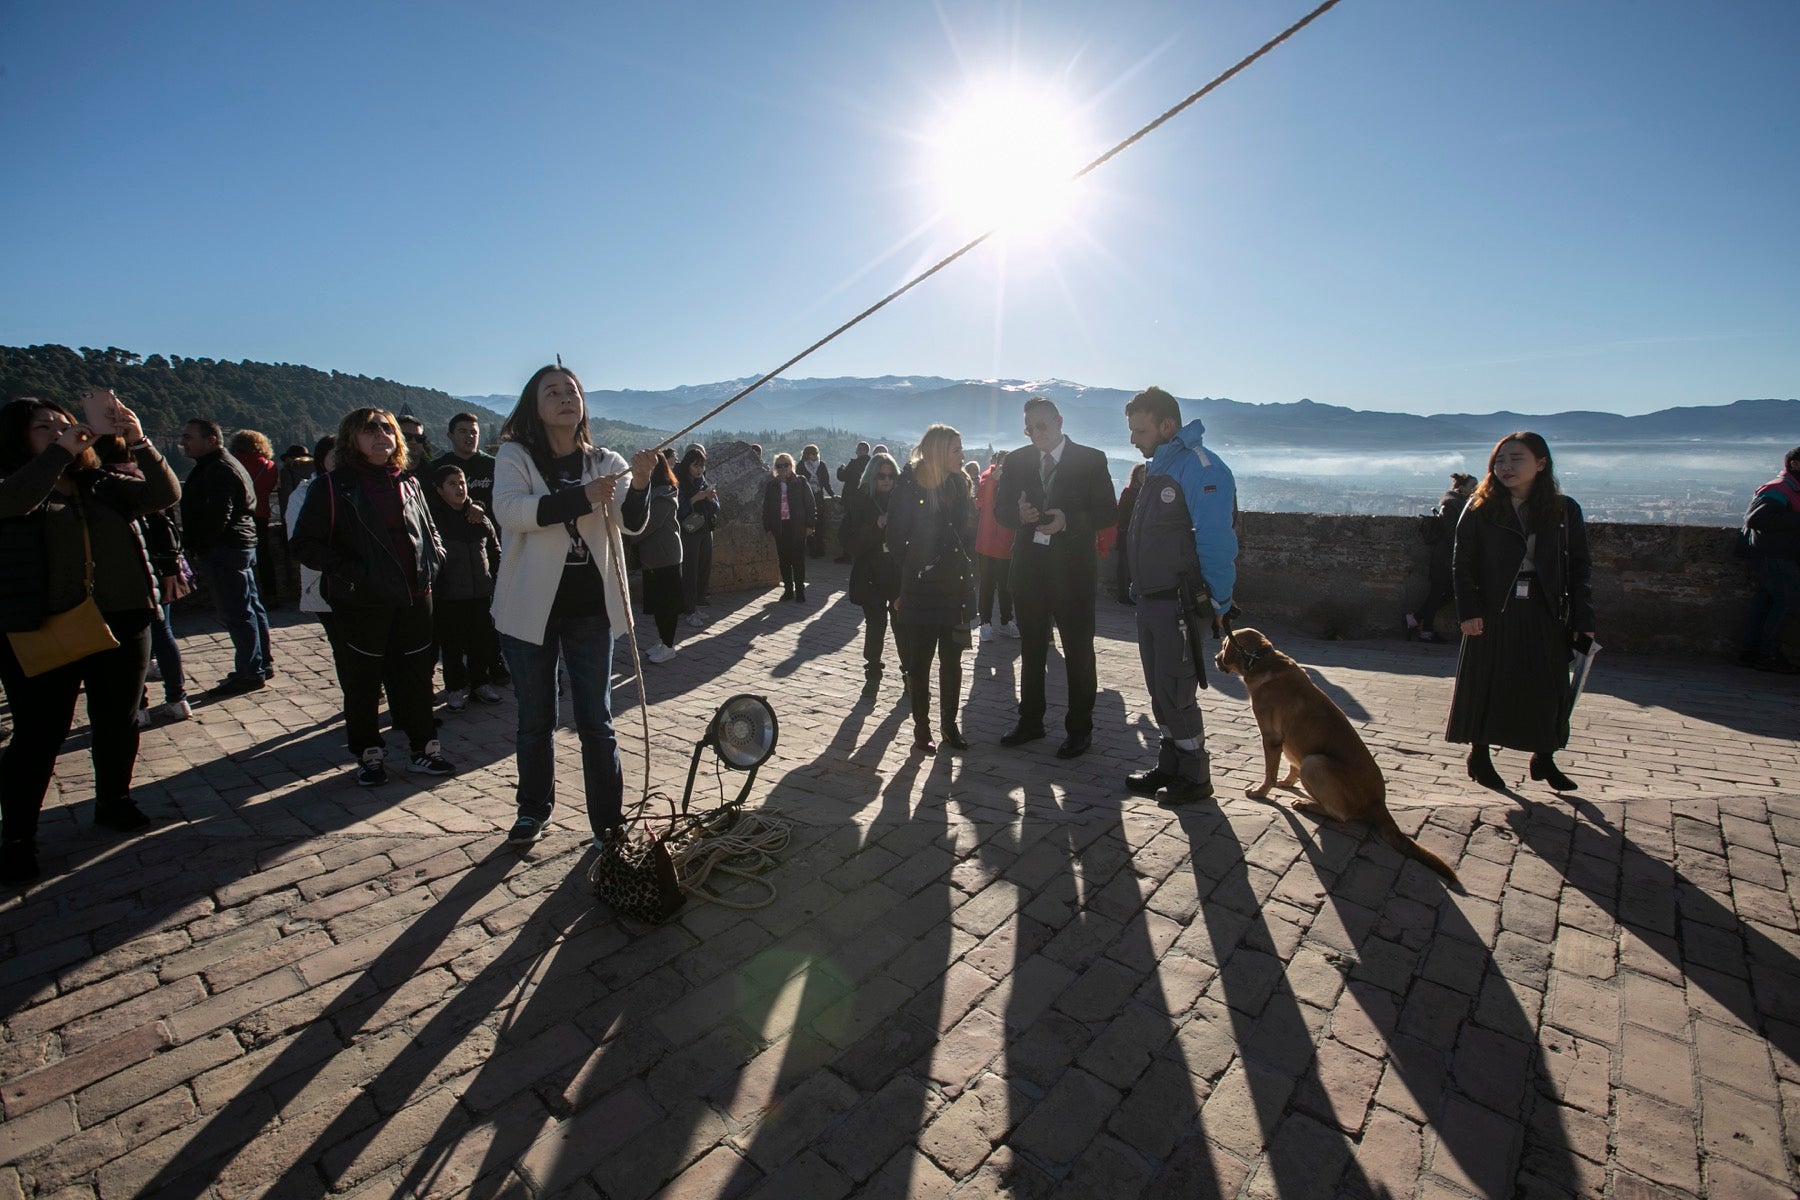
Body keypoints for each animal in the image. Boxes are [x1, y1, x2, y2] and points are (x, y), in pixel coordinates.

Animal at [1209, 629, 1461, 881]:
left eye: (1223, 645)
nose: (1214, 658)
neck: (1261, 660)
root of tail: (1378, 802)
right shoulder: (1289, 746)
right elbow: (1291, 766)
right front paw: (1287, 782)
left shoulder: (1271, 737)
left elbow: (1269, 773)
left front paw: (1261, 792)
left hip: (1315, 762)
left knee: (1340, 815)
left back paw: (1307, 803)